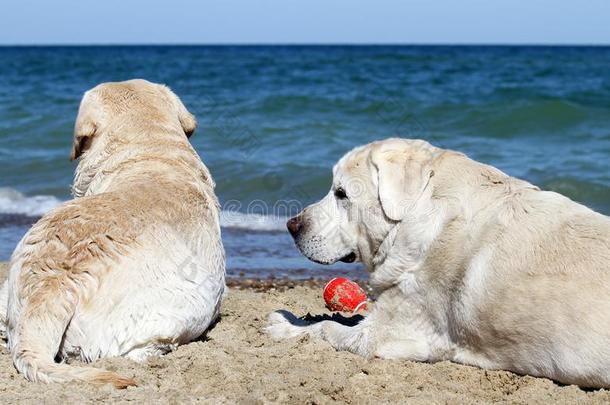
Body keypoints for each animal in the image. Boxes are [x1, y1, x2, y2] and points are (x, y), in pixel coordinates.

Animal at [268, 137, 608, 386]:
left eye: (341, 194)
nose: (291, 225)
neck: (415, 213)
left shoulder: (389, 334)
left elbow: (326, 328)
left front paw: (286, 326)